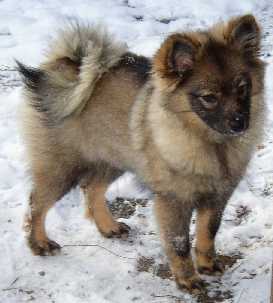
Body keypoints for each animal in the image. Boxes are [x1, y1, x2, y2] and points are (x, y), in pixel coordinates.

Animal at [17, 14, 264, 294]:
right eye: (209, 98)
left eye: (242, 88)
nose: (240, 123)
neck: (210, 143)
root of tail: (68, 67)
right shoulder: (173, 200)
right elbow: (179, 244)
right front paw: (188, 279)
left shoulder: (218, 196)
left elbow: (207, 232)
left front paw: (207, 265)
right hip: (62, 168)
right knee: (37, 203)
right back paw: (39, 243)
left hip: (113, 159)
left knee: (91, 189)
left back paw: (109, 227)